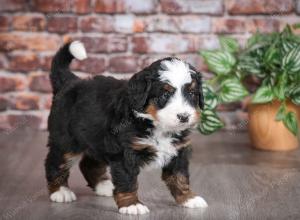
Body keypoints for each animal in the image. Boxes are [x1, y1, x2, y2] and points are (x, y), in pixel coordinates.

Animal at [45, 40, 209, 215]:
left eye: (192, 93)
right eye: (165, 95)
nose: (184, 117)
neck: (153, 123)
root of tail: (70, 82)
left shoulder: (178, 151)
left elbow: (180, 176)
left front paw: (189, 198)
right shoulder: (124, 153)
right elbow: (127, 180)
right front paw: (132, 204)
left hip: (96, 140)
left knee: (89, 164)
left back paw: (104, 186)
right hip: (66, 142)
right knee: (55, 162)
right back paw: (60, 191)